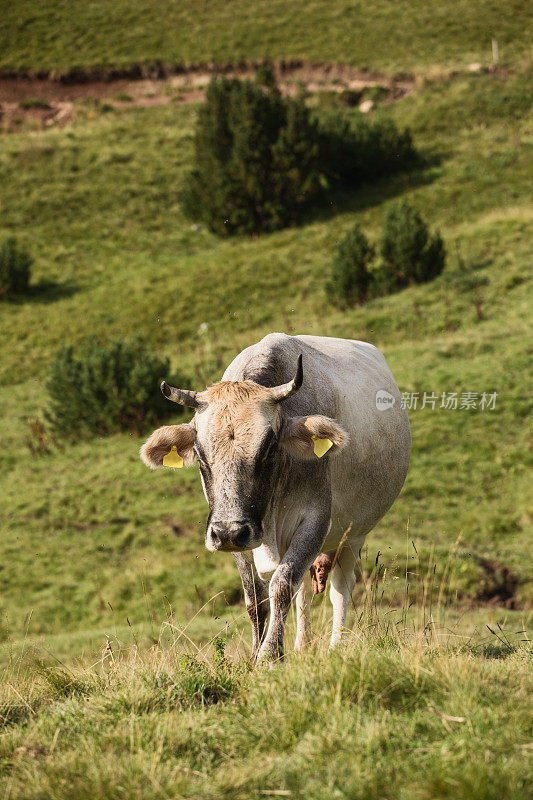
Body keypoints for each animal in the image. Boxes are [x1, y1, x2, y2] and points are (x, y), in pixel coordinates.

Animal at [139, 332, 410, 664]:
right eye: (201, 455)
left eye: (269, 449)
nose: (230, 532)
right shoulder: (235, 538)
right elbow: (257, 601)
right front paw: (256, 655)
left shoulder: (315, 521)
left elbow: (281, 585)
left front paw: (270, 656)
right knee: (303, 591)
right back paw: (303, 646)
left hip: (353, 535)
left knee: (339, 590)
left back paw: (335, 648)